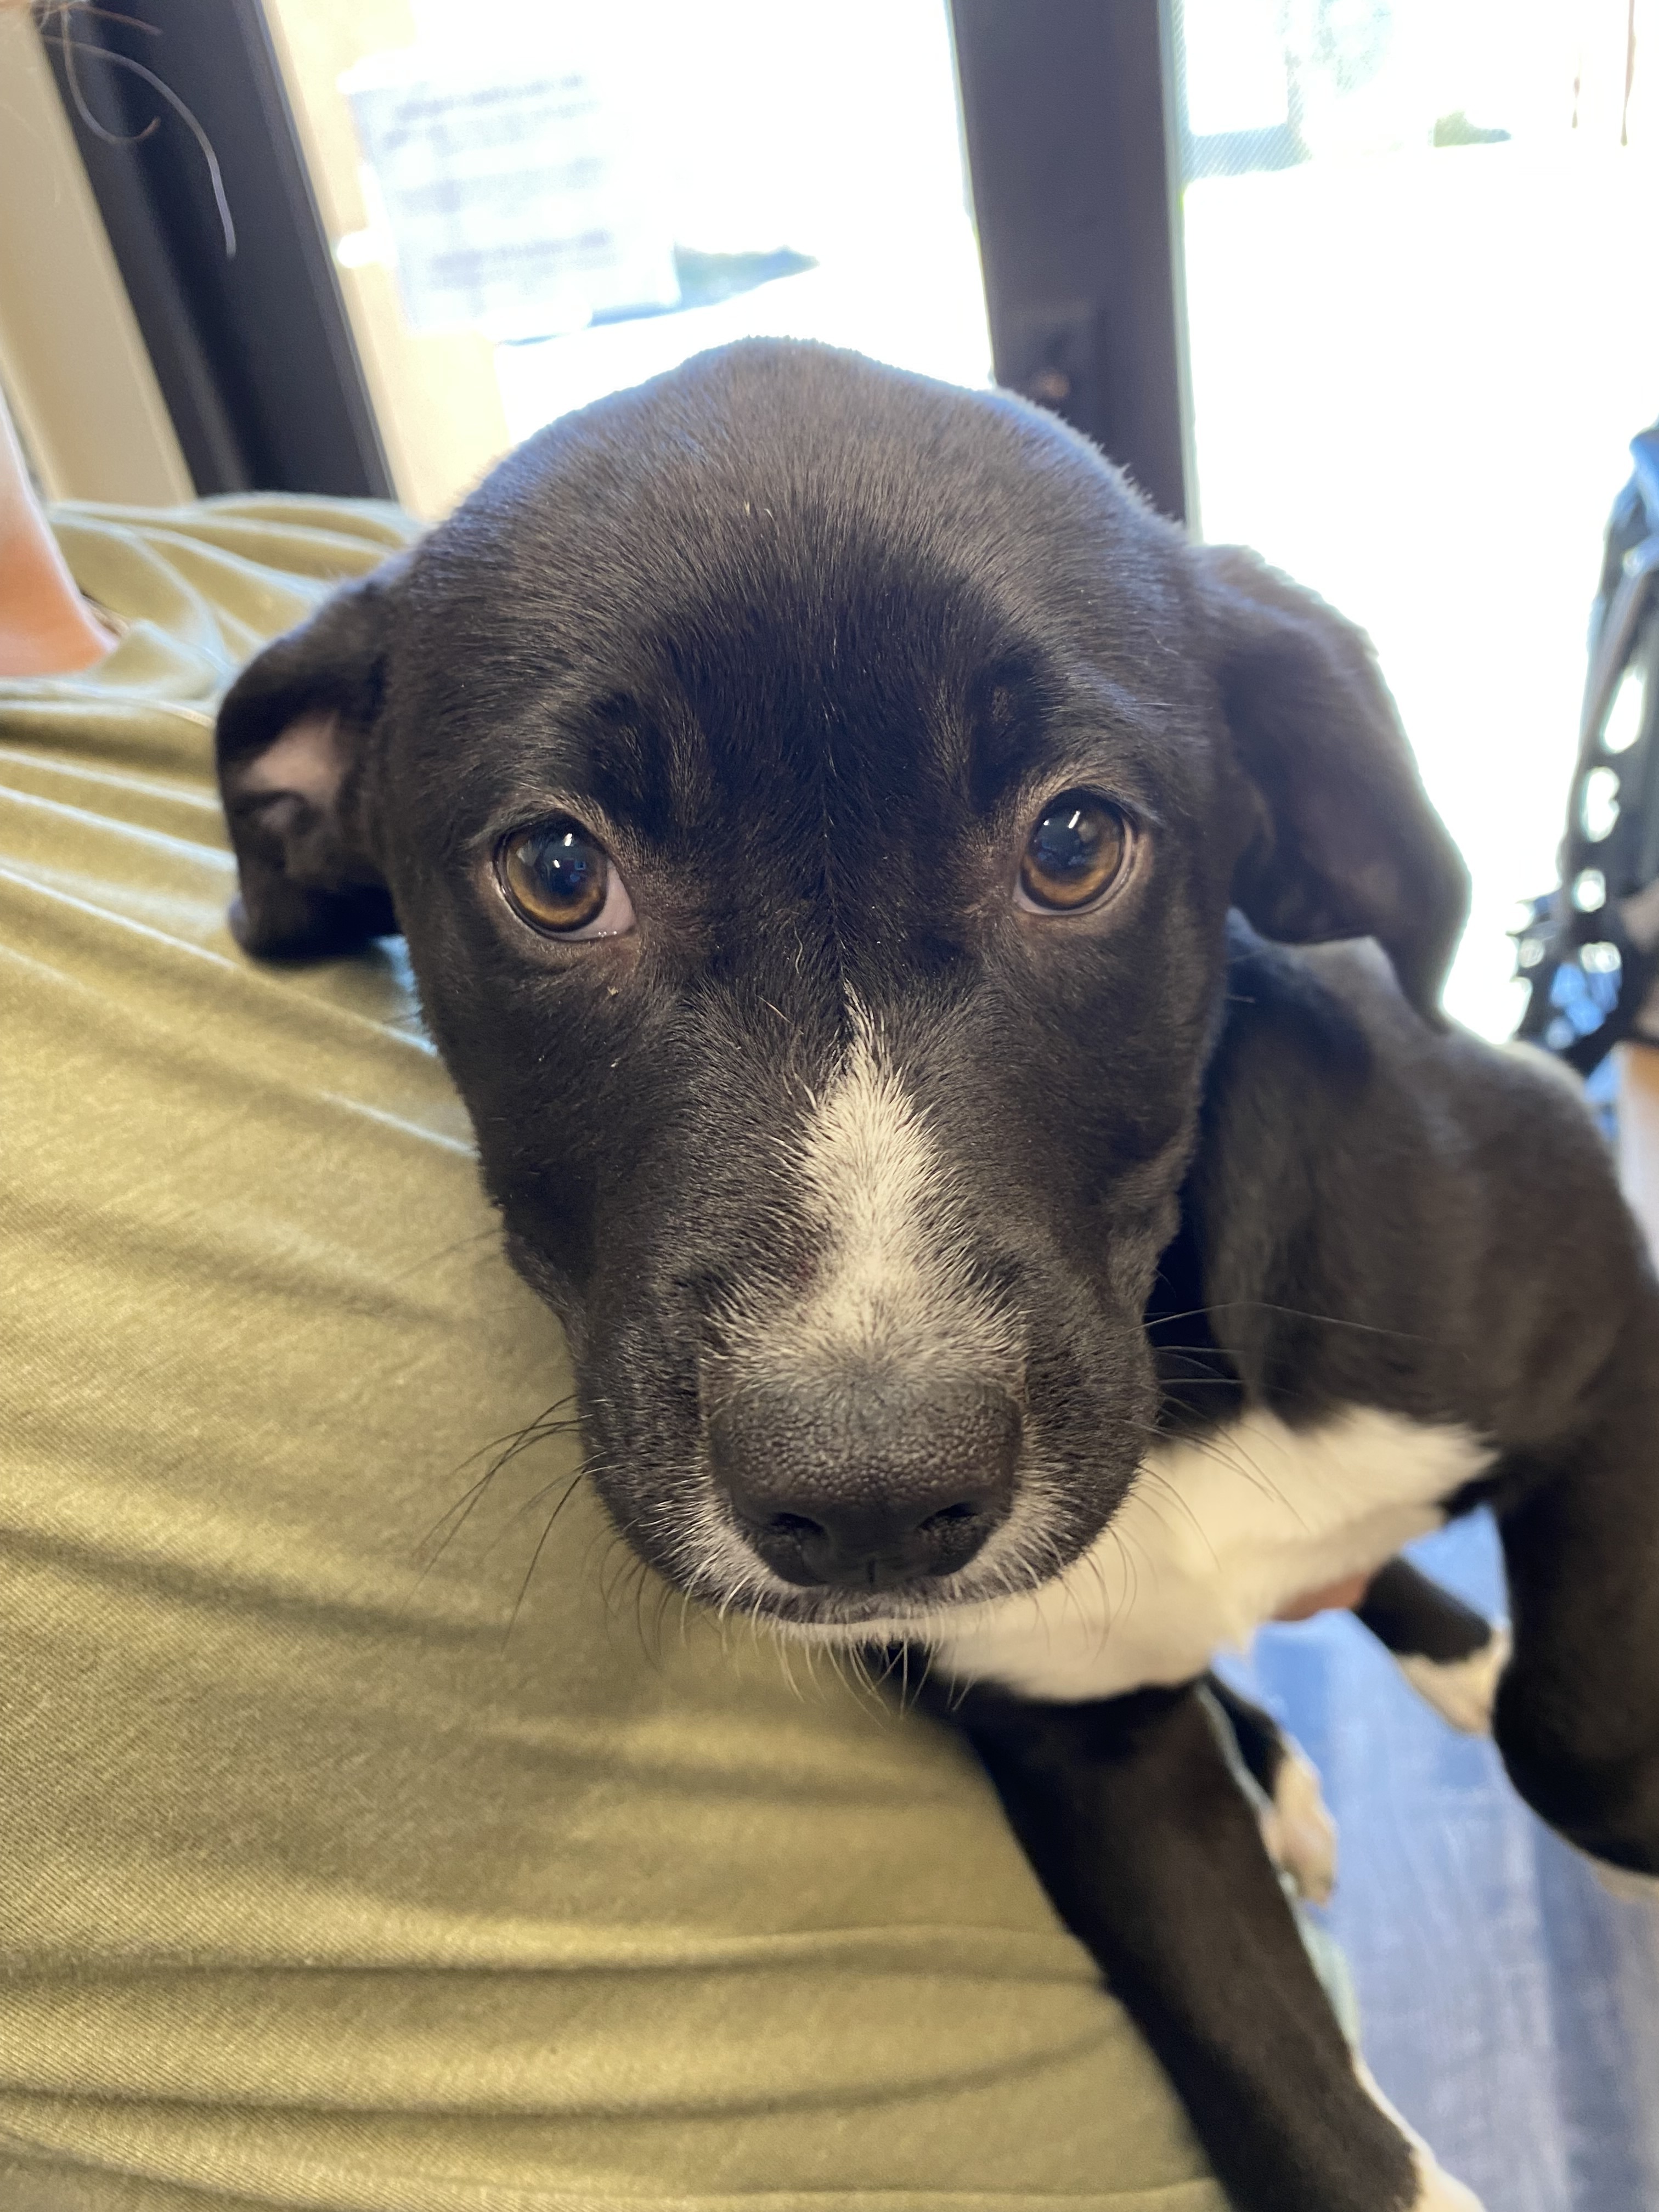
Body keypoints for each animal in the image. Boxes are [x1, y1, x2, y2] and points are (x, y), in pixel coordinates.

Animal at [218, 340, 1659, 2212]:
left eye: (1075, 845)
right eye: (555, 870)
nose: (875, 1503)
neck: (1177, 1386)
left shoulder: (1596, 1290)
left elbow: (1587, 1738)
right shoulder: (1086, 1756)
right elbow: (1299, 2122)